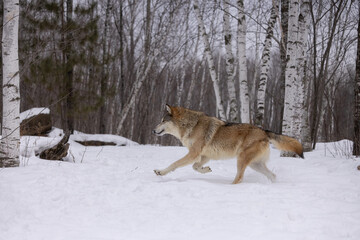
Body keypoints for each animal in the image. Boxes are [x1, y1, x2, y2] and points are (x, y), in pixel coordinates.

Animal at [152, 104, 304, 184]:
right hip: (255, 165)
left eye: (162, 121)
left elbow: (175, 164)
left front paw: (160, 172)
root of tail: (264, 131)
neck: (191, 125)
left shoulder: (193, 153)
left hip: (241, 160)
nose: (153, 130)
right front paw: (206, 170)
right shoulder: (204, 155)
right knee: (272, 175)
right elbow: (195, 167)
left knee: (239, 178)